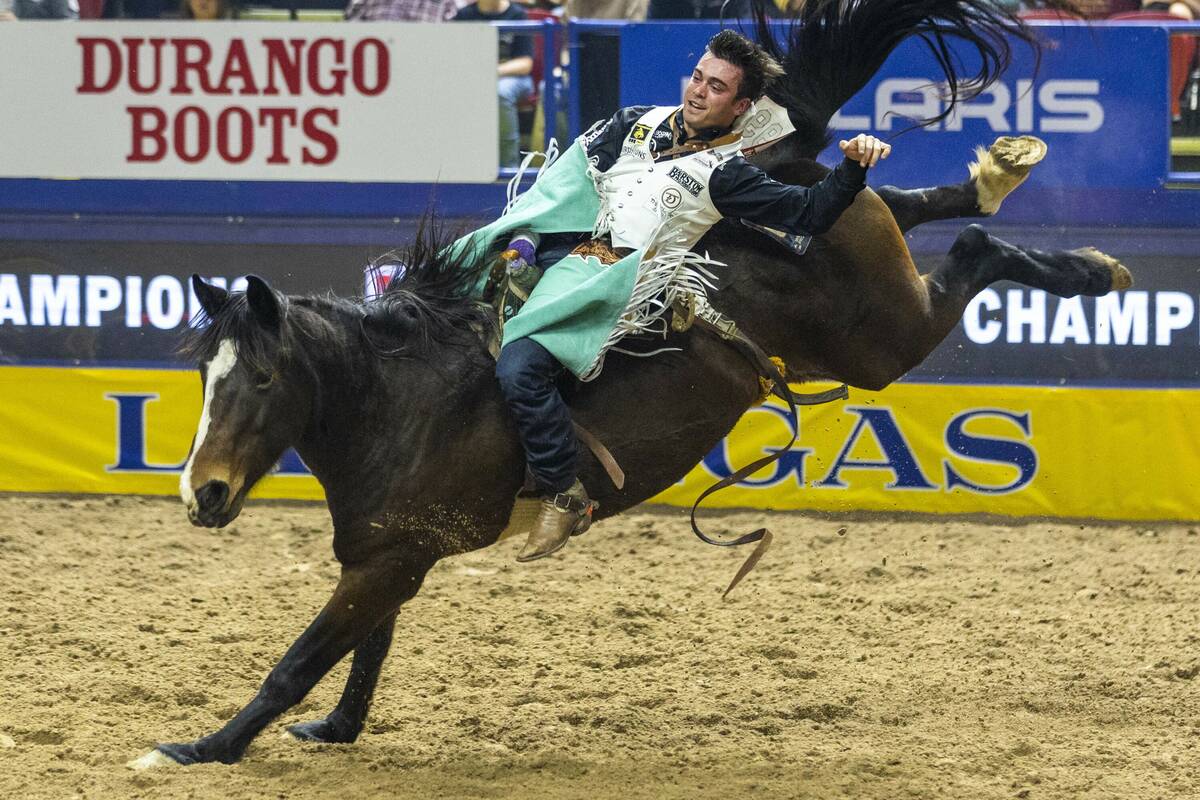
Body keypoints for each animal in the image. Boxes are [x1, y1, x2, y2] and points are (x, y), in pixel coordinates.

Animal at [133, 1, 1132, 777]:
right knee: (913, 210)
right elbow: (363, 652)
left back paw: (1082, 263)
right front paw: (335, 729)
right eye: (203, 373)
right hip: (857, 268)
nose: (203, 493)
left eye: (264, 375)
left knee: (968, 250)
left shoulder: (388, 559)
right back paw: (995, 184)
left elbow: (299, 660)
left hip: (882, 340)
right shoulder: (392, 554)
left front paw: (199, 748)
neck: (400, 402)